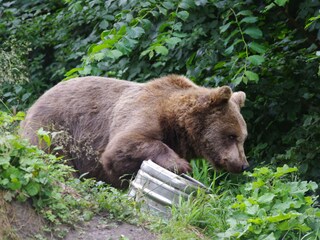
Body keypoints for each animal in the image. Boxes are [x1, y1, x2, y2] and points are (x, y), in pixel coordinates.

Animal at [21, 74, 249, 188]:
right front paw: (181, 165)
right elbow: (124, 145)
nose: (243, 164)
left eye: (243, 138)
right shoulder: (142, 110)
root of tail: (34, 102)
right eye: (232, 135)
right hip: (53, 129)